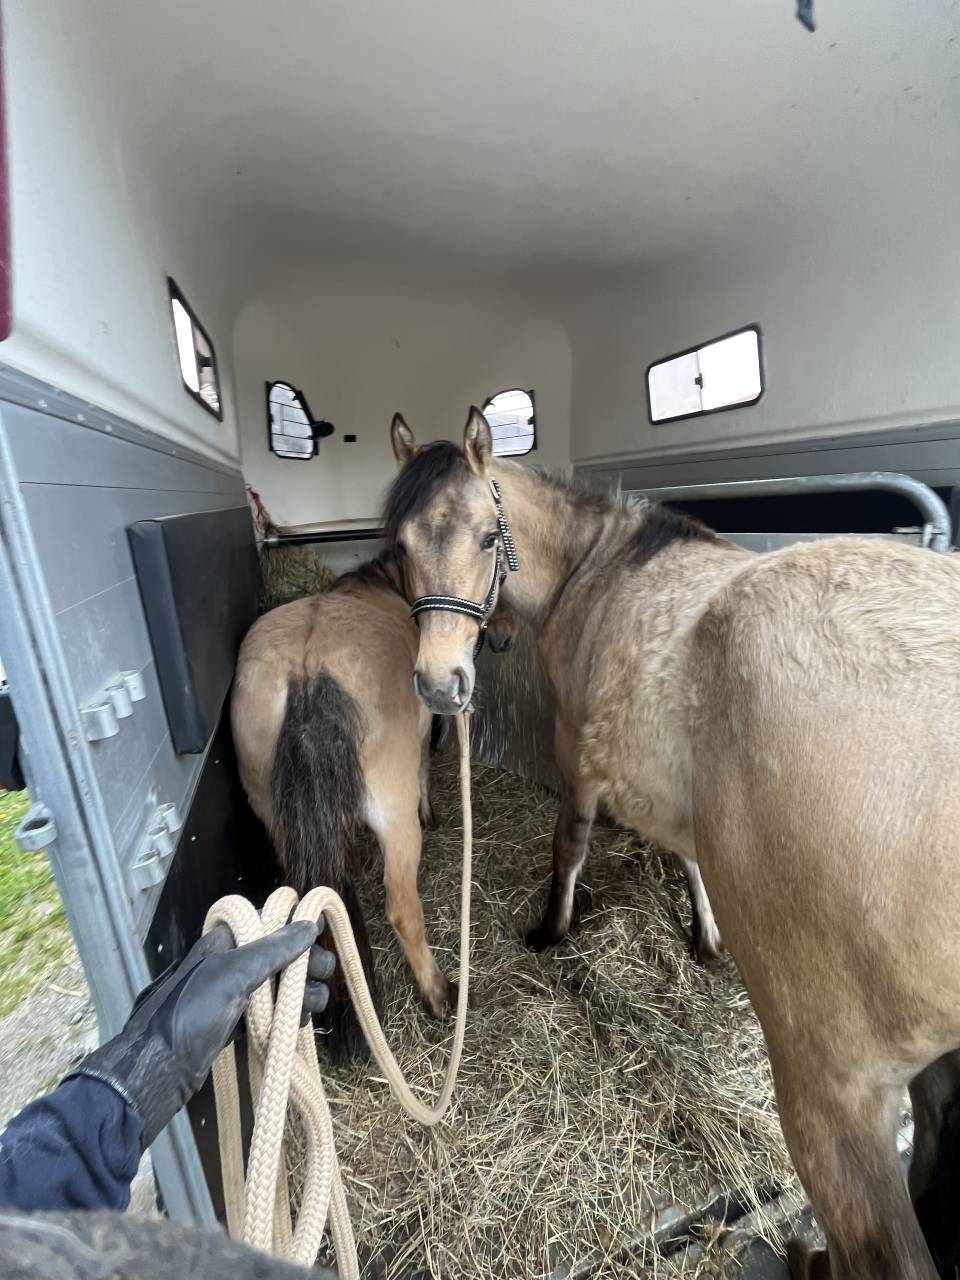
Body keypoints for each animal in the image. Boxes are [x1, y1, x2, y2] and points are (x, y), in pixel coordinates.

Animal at [232, 548, 514, 1057]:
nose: (503, 634)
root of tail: (307, 670)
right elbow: (424, 768)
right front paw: (431, 812)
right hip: (394, 821)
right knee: (402, 907)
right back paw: (439, 994)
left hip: (276, 817)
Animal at [383, 408, 960, 1280]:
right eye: (401, 544)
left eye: (488, 536)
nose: (441, 684)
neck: (598, 572)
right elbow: (689, 856)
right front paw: (704, 935)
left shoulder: (579, 756)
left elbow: (570, 847)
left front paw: (551, 930)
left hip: (835, 1101)